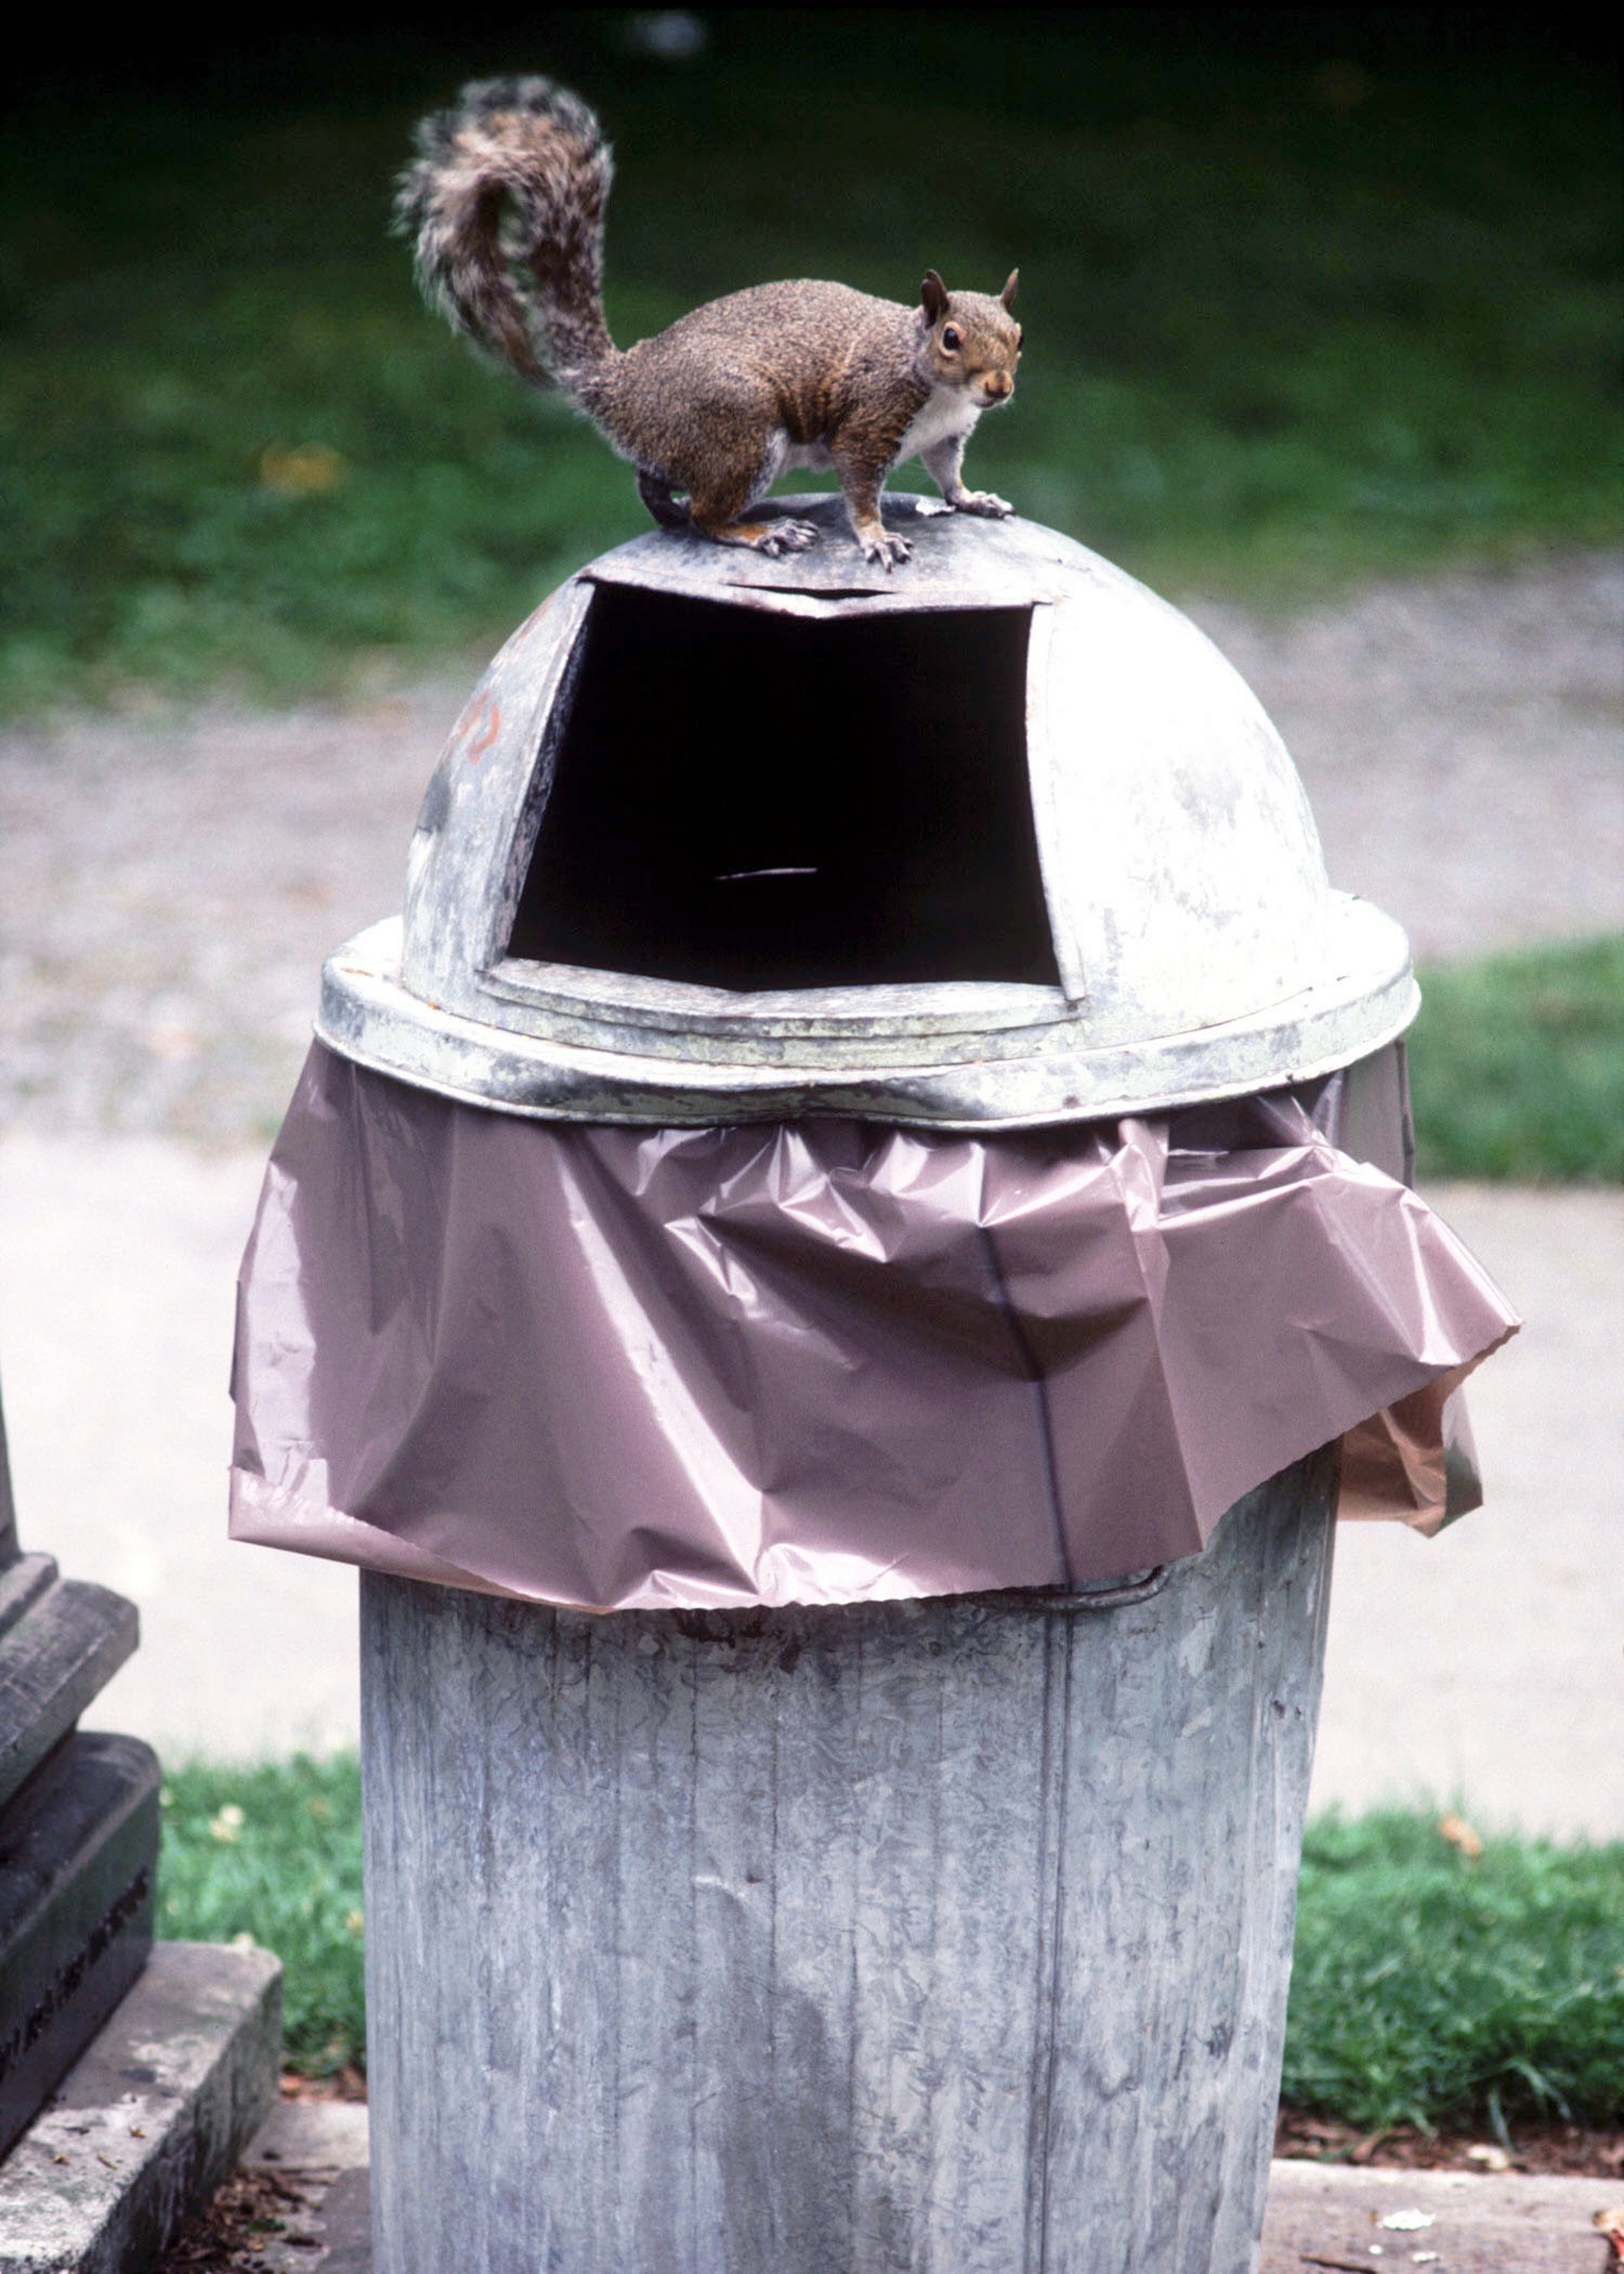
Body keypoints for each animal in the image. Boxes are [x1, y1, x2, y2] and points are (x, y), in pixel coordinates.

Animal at [398, 73, 1018, 568]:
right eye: (951, 338)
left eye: (1017, 337)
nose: (999, 388)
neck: (935, 388)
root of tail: (621, 384)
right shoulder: (868, 423)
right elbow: (861, 491)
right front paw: (876, 538)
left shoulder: (945, 437)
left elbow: (948, 475)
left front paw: (973, 499)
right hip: (739, 433)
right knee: (707, 515)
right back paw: (760, 531)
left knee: (654, 481)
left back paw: (668, 509)